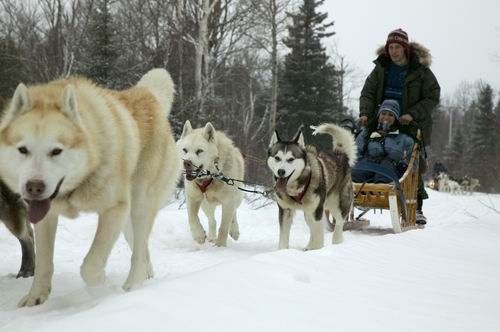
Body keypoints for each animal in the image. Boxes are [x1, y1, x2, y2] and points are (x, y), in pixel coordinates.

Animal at [0, 68, 182, 308]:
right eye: (23, 150)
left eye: (56, 151)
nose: (34, 187)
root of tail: (145, 93)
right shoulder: (46, 217)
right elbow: (44, 263)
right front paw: (36, 296)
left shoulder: (114, 209)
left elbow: (90, 266)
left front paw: (100, 289)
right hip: (127, 221)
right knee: (140, 247)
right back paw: (147, 273)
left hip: (140, 207)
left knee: (138, 251)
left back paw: (133, 285)